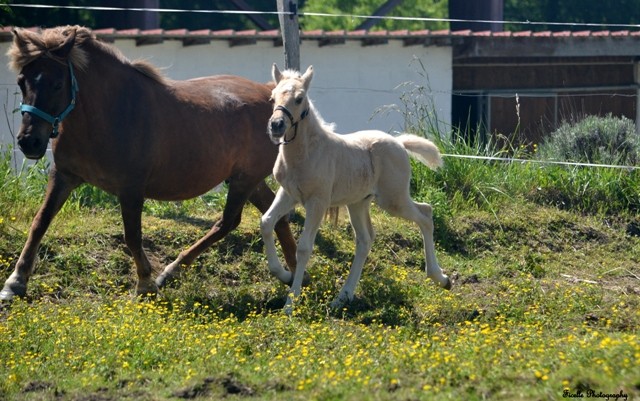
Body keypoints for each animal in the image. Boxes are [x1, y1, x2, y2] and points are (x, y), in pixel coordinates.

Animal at [0, 25, 298, 300]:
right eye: (22, 81)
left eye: (57, 84)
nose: (29, 142)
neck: (108, 114)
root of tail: (270, 97)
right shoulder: (64, 175)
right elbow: (40, 222)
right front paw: (15, 283)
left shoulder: (131, 188)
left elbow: (132, 236)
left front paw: (145, 283)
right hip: (247, 179)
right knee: (274, 216)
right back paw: (294, 275)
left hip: (244, 180)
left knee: (228, 222)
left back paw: (171, 271)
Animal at [260, 64, 450, 310]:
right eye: (272, 98)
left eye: (299, 98)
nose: (276, 125)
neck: (306, 153)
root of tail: (399, 143)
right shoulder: (288, 194)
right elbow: (266, 222)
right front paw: (281, 274)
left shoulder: (317, 202)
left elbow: (304, 248)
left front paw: (290, 305)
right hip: (358, 202)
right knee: (365, 240)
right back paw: (342, 297)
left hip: (393, 199)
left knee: (425, 214)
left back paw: (440, 278)